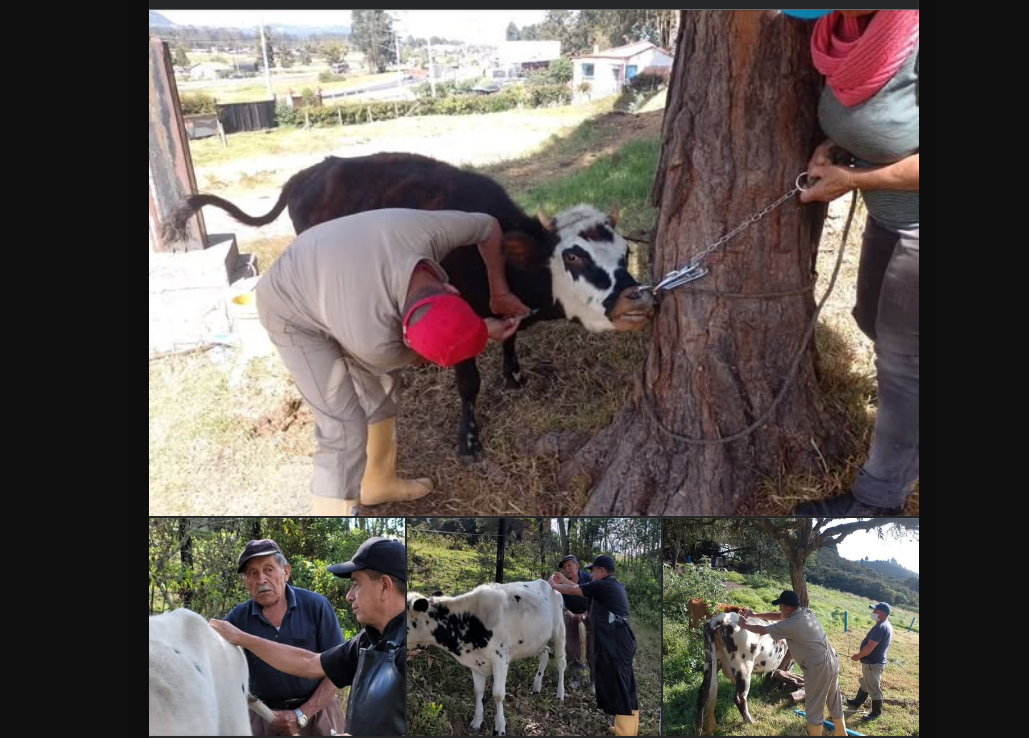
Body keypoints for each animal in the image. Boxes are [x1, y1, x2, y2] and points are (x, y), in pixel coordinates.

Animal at [163, 152, 654, 457]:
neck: (501, 262)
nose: (637, 296)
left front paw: (514, 375)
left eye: (625, 251)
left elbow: (510, 342)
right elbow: (469, 384)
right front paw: (468, 441)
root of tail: (313, 172)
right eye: (574, 257)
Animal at [405, 580, 568, 732]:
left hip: (559, 631)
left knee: (561, 663)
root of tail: (547, 583)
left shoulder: (500, 659)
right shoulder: (476, 662)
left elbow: (498, 694)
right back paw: (537, 685)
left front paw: (500, 726)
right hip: (535, 641)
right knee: (545, 653)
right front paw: (477, 721)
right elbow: (478, 691)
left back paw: (560, 693)